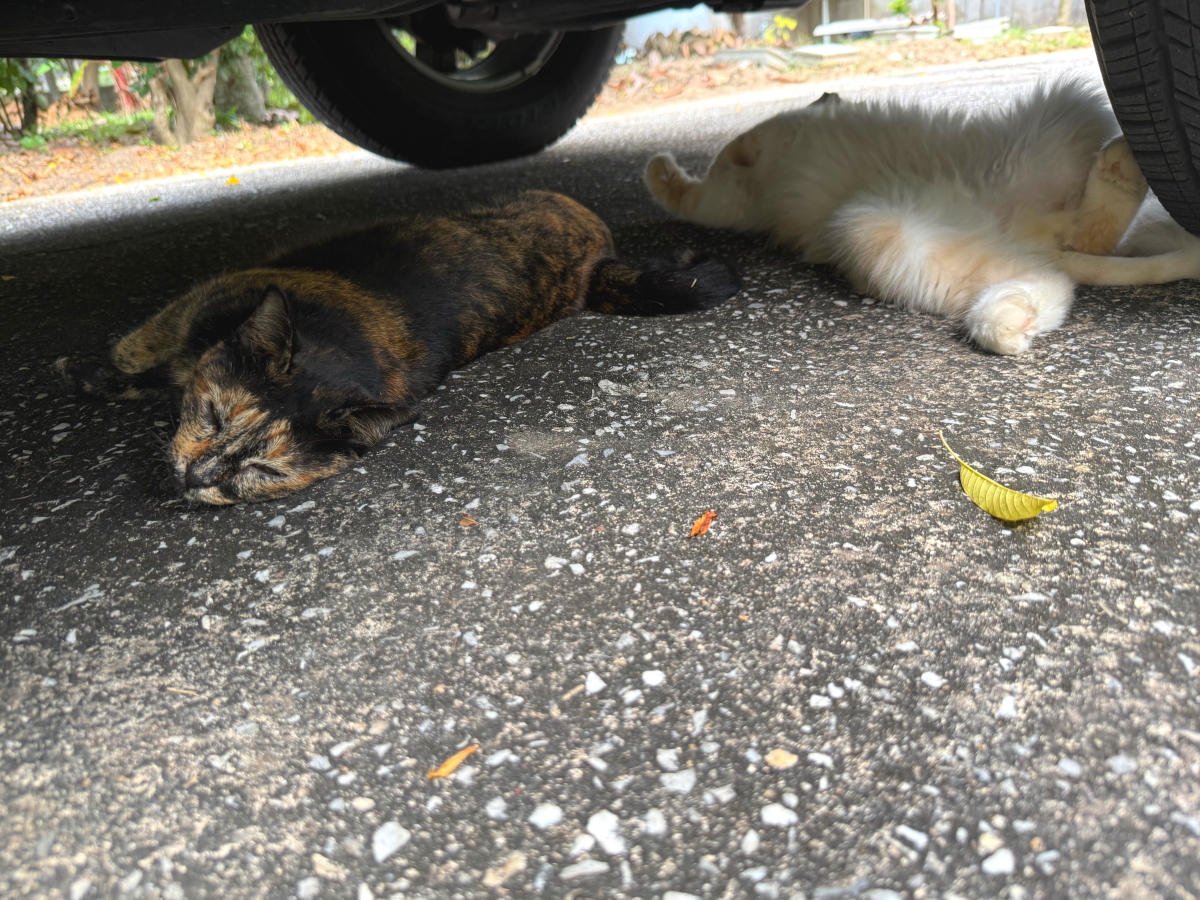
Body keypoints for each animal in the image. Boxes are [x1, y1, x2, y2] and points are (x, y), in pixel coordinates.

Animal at [58, 191, 740, 505]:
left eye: (263, 472)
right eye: (215, 416)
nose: (196, 478)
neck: (343, 341)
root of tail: (595, 254)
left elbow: (143, 360)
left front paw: (93, 373)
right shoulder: (198, 306)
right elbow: (146, 352)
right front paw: (104, 371)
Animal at [644, 78, 1165, 355]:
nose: (829, 93)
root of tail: (1023, 235)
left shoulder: (735, 186)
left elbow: (700, 184)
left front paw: (659, 169)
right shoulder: (735, 196)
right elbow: (698, 188)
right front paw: (660, 169)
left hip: (1065, 111)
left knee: (1077, 248)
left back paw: (1120, 172)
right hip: (884, 232)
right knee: (1059, 270)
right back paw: (1008, 320)